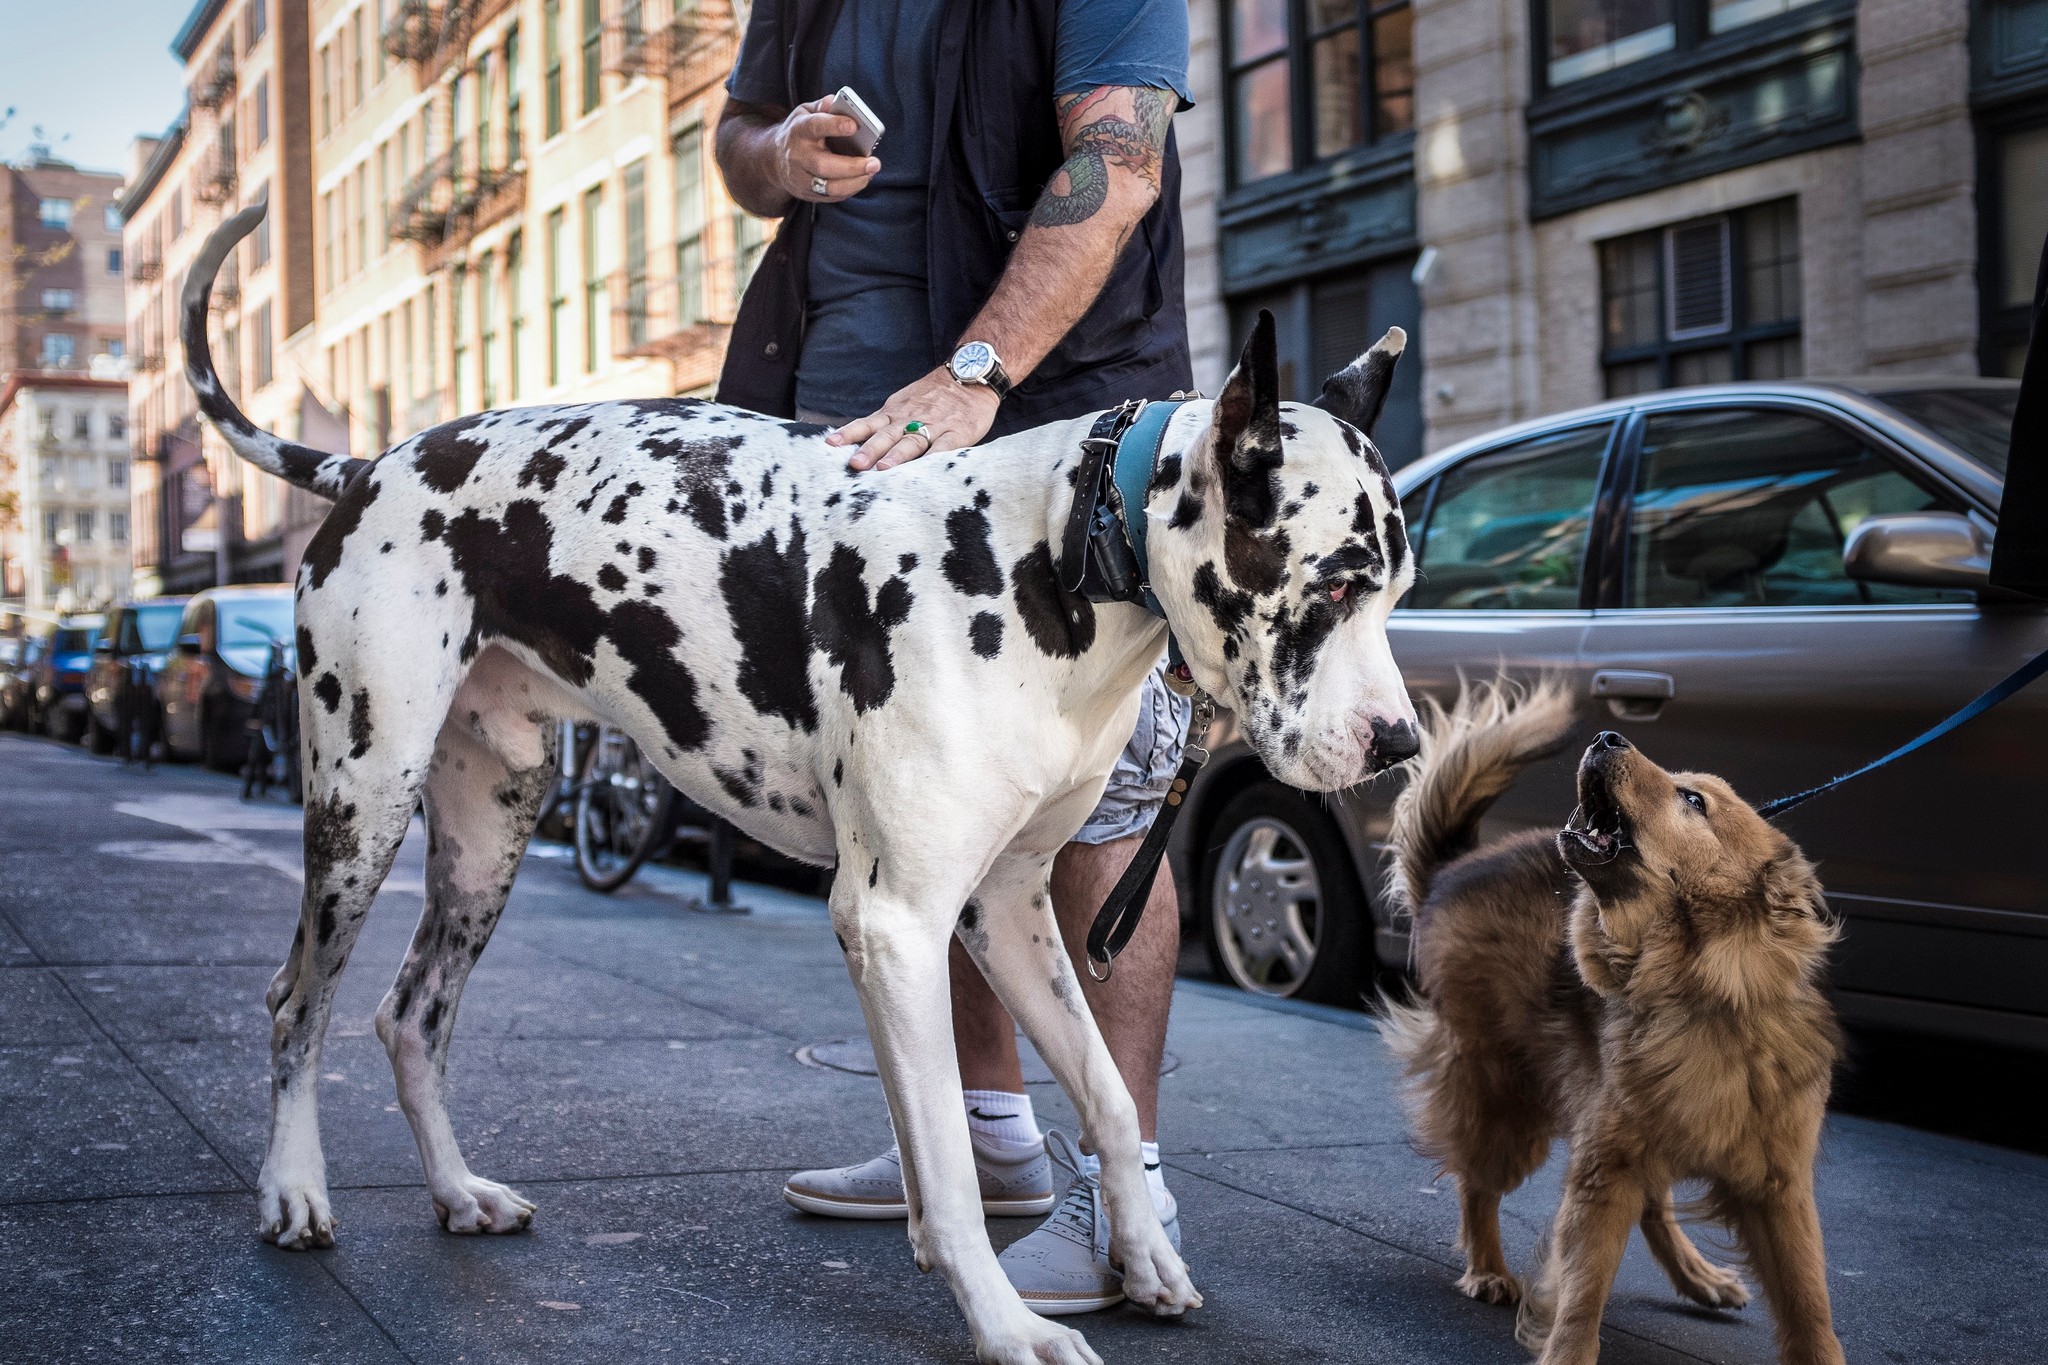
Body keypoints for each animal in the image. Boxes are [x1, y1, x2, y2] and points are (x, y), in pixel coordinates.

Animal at [184, 205, 1417, 1365]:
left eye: (1397, 587)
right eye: (1335, 582)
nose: (1400, 743)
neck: (1059, 548)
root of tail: (367, 468)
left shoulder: (1007, 906)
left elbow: (1106, 1092)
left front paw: (1145, 1254)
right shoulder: (899, 921)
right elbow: (952, 1165)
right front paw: (1003, 1322)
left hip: (490, 826)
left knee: (411, 1016)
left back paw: (454, 1192)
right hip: (363, 798)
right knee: (298, 1003)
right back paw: (293, 1191)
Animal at [1384, 683, 1851, 1365]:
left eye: (1693, 800)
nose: (1607, 738)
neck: (1696, 995)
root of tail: (1452, 870)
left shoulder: (1777, 1186)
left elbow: (1809, 1300)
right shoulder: (1605, 1174)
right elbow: (1583, 1294)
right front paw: (1566, 1351)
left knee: (1654, 1205)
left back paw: (1697, 1276)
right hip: (1506, 1103)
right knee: (1478, 1184)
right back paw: (1487, 1268)